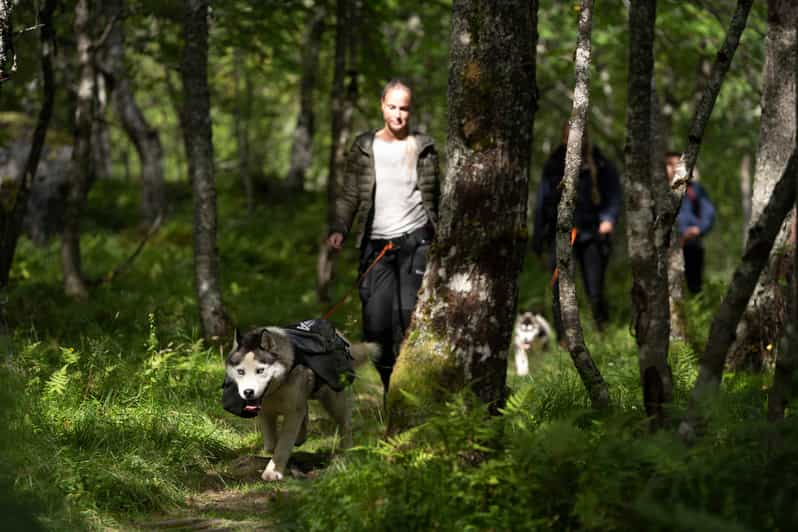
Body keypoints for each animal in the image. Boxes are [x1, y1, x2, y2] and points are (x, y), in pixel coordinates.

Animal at [223, 326, 376, 480]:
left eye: (260, 370)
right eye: (240, 371)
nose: (248, 392)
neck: (277, 388)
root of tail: (340, 335)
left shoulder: (292, 412)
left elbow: (283, 444)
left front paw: (273, 471)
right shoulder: (266, 413)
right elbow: (271, 445)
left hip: (336, 402)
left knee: (345, 426)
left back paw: (347, 452)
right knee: (306, 410)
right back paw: (301, 436)